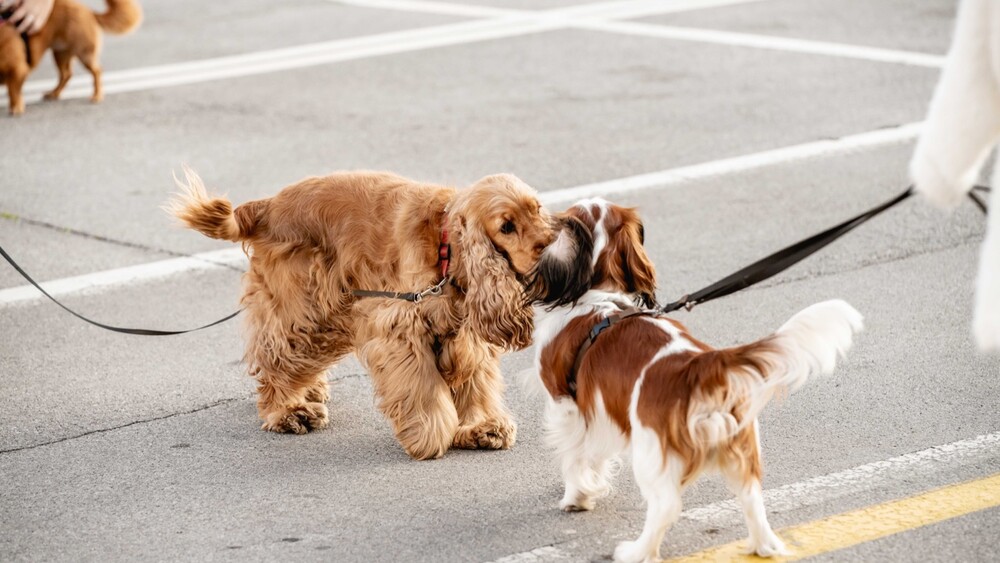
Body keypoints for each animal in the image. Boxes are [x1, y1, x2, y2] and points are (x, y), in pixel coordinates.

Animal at [0, 0, 142, 116]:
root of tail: (89, 12)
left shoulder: (18, 70)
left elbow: (13, 91)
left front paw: (16, 107)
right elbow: (12, 89)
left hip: (84, 54)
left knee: (96, 71)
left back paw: (96, 95)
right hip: (60, 54)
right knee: (66, 75)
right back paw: (54, 93)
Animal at [174, 170, 564, 460]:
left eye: (537, 209)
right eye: (506, 226)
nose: (555, 247)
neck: (447, 249)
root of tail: (265, 207)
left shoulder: (464, 332)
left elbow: (476, 381)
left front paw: (481, 427)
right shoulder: (400, 324)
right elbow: (423, 387)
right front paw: (429, 434)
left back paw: (310, 392)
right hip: (307, 311)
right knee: (276, 358)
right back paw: (287, 411)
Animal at [528, 198, 864, 560]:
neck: (599, 298)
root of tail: (700, 365)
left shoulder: (567, 407)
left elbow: (574, 458)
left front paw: (576, 498)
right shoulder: (599, 412)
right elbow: (595, 455)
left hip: (651, 453)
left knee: (665, 507)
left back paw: (636, 551)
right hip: (741, 450)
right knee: (752, 496)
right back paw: (764, 545)